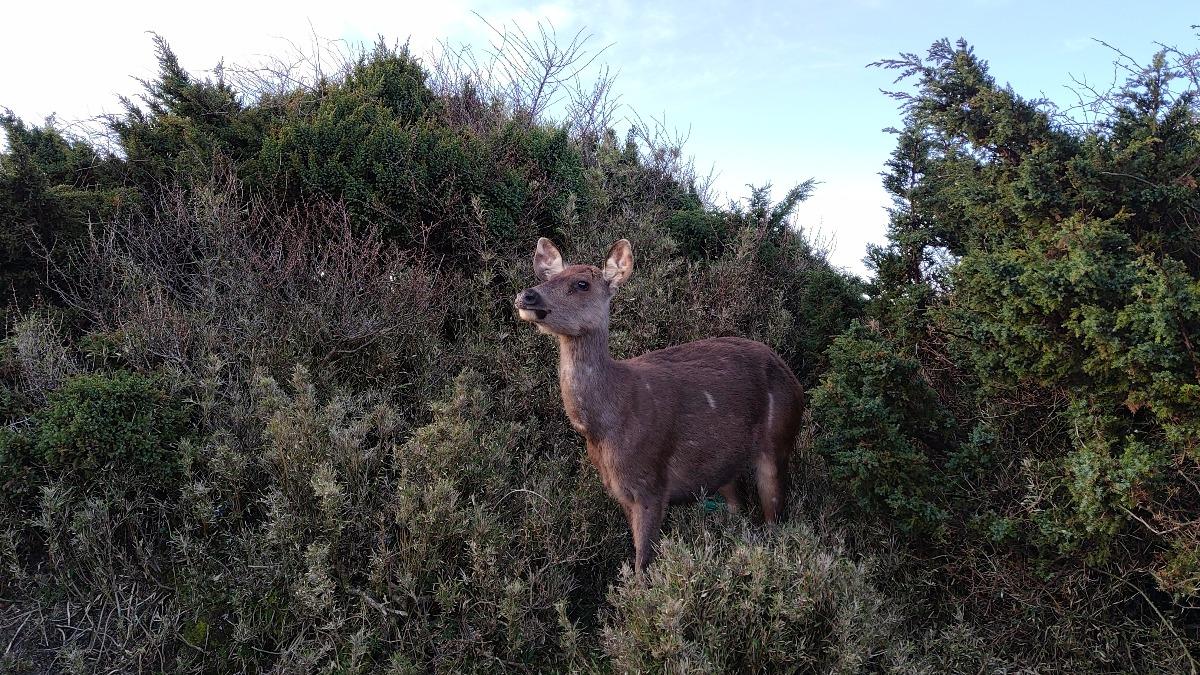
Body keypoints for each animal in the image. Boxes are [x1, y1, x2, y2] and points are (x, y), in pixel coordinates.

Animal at [513, 237, 805, 573]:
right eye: (550, 276)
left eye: (581, 283)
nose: (527, 295)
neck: (605, 426)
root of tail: (794, 379)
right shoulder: (620, 491)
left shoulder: (651, 483)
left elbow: (643, 566)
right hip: (724, 467)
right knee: (739, 508)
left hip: (778, 441)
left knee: (774, 520)